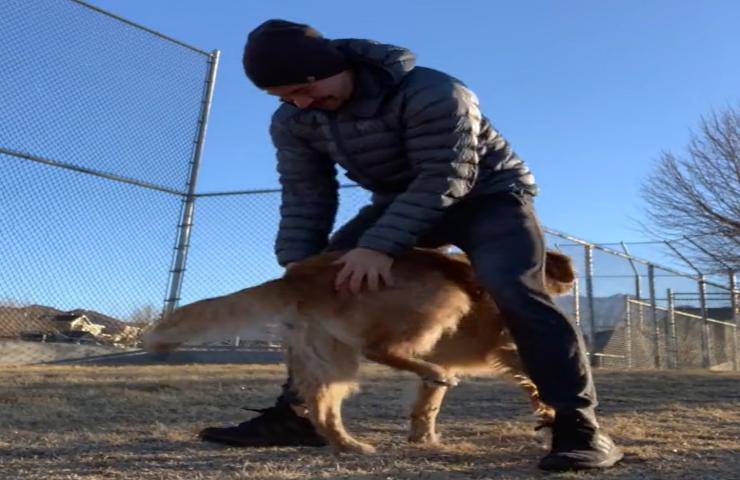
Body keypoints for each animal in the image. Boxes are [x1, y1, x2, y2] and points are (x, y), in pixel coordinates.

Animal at [143, 248, 572, 454]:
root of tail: (301, 277)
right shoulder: (505, 347)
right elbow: (533, 379)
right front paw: (548, 412)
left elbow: (427, 406)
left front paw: (423, 438)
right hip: (443, 296)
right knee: (380, 347)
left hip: (331, 359)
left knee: (323, 410)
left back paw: (349, 445)